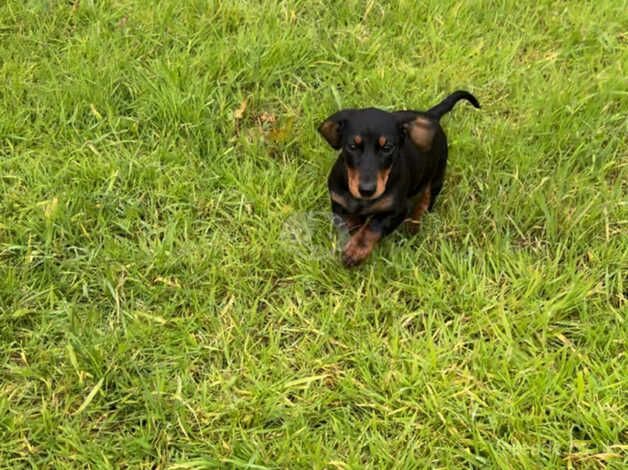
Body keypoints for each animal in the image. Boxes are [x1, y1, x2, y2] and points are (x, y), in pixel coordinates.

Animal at [318, 87, 480, 264]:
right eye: (352, 146)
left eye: (387, 147)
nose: (367, 190)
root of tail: (429, 115)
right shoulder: (338, 202)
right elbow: (351, 222)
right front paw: (353, 236)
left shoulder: (397, 211)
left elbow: (373, 226)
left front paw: (355, 251)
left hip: (437, 174)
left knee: (426, 201)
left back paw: (413, 226)